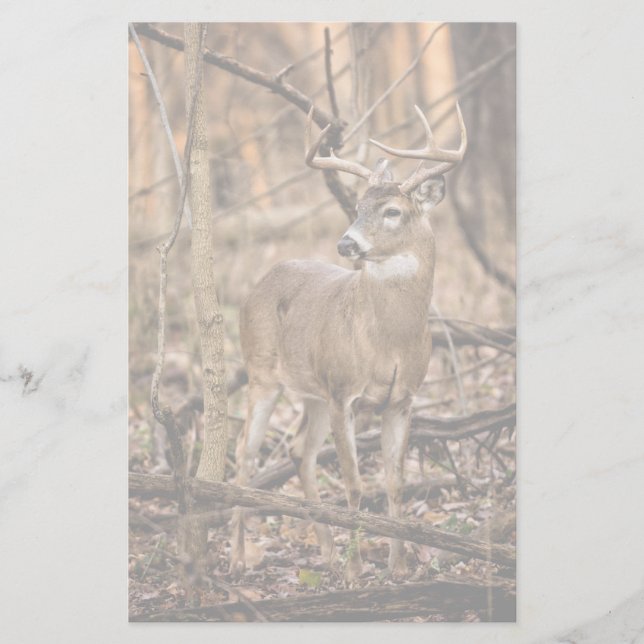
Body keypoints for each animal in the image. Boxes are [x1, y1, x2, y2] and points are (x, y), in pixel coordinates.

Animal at [230, 104, 467, 582]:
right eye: (356, 207)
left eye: (392, 211)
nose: (346, 242)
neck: (389, 341)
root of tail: (259, 283)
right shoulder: (344, 392)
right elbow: (355, 484)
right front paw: (357, 570)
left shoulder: (403, 399)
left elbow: (395, 483)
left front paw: (398, 566)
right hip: (262, 371)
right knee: (245, 455)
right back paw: (238, 559)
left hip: (313, 391)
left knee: (300, 452)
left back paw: (324, 553)